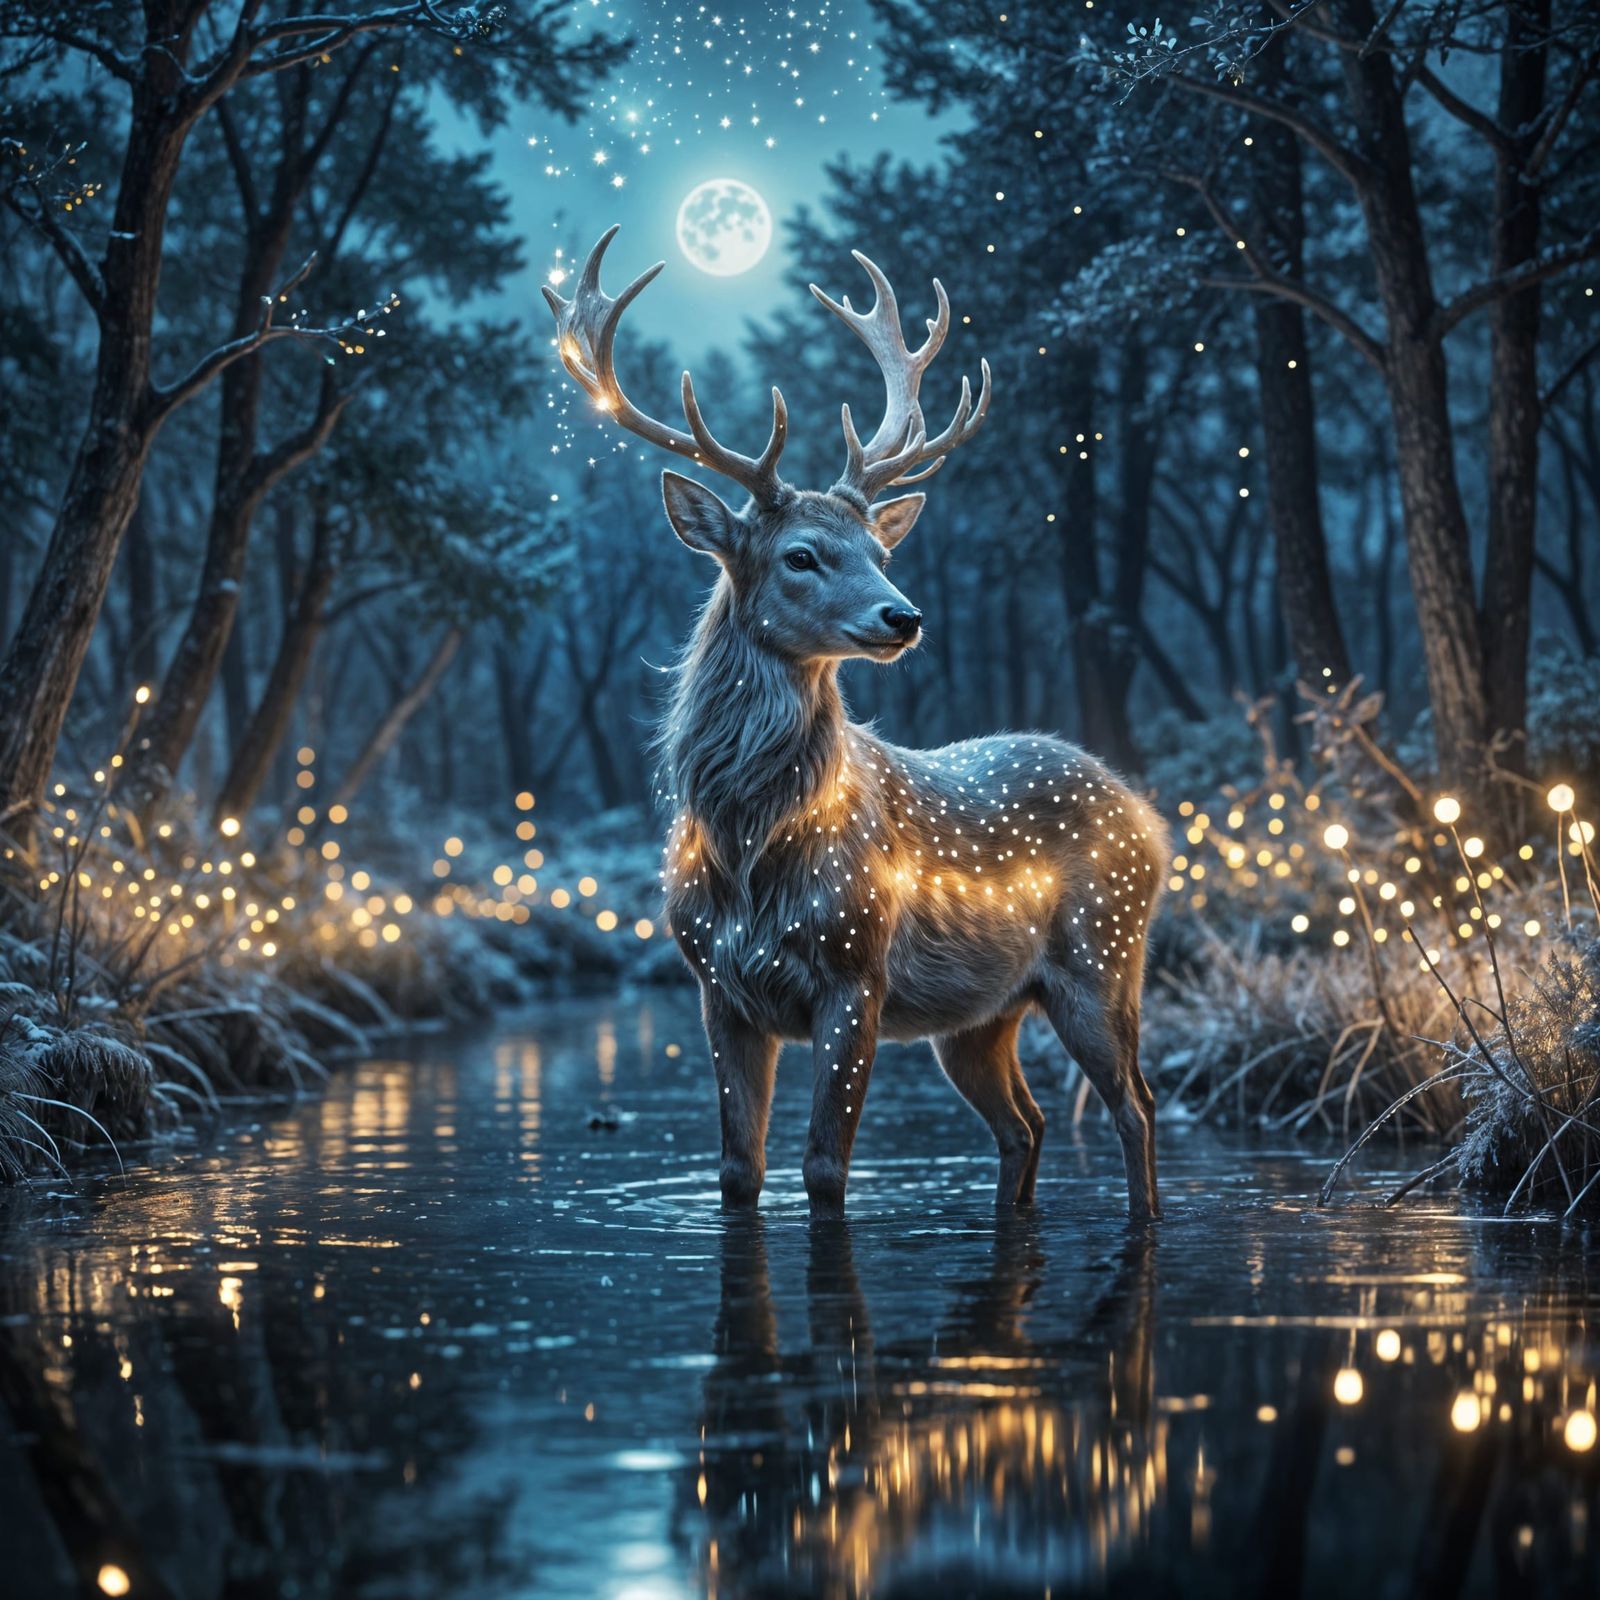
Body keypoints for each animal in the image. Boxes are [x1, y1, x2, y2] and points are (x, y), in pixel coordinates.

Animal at [544, 227, 1169, 1220]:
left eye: (880, 549)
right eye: (801, 555)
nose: (903, 616)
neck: (750, 849)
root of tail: (1148, 815)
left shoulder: (854, 966)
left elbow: (825, 1171)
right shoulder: (715, 984)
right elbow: (739, 1171)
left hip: (1103, 955)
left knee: (1135, 1109)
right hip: (981, 1015)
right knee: (1025, 1126)